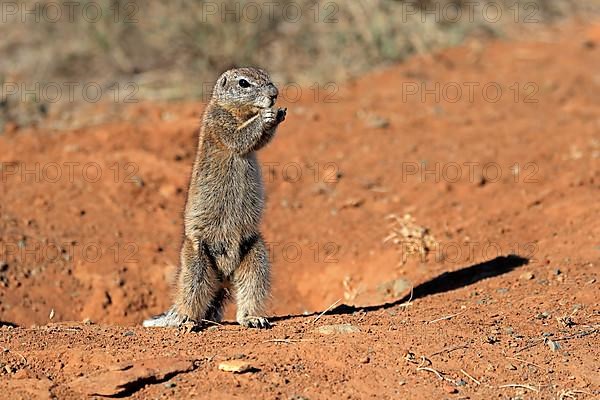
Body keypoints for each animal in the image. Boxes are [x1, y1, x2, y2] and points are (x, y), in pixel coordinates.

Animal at [144, 66, 288, 328]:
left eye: (266, 76)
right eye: (243, 83)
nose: (274, 94)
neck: (240, 112)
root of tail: (224, 274)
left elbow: (258, 143)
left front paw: (279, 113)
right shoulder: (219, 120)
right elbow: (238, 137)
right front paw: (266, 116)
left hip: (256, 254)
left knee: (250, 289)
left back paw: (252, 318)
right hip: (197, 258)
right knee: (191, 294)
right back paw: (187, 320)